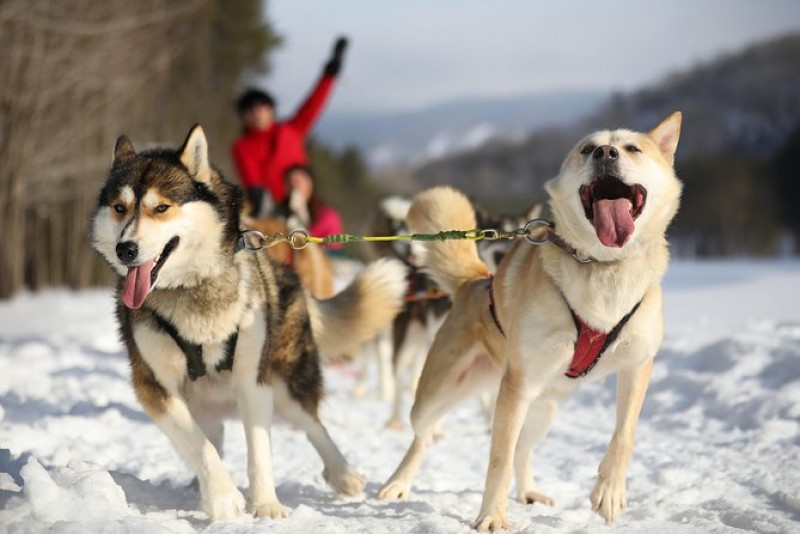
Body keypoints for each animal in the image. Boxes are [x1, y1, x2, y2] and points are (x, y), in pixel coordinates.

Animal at [92, 126, 406, 524]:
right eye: (119, 208)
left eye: (161, 207)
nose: (126, 249)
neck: (193, 289)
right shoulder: (154, 386)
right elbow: (200, 446)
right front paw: (223, 497)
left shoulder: (254, 379)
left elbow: (259, 450)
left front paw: (265, 504)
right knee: (211, 437)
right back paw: (200, 488)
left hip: (288, 378)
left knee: (313, 423)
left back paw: (343, 473)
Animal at [378, 113, 684, 532]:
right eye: (588, 149)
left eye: (633, 148)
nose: (606, 153)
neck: (602, 268)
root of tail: (477, 282)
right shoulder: (517, 386)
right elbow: (498, 459)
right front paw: (492, 514)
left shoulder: (638, 365)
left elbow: (625, 433)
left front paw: (609, 492)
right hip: (439, 394)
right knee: (425, 436)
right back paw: (398, 483)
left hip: (543, 409)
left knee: (523, 449)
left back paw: (528, 491)